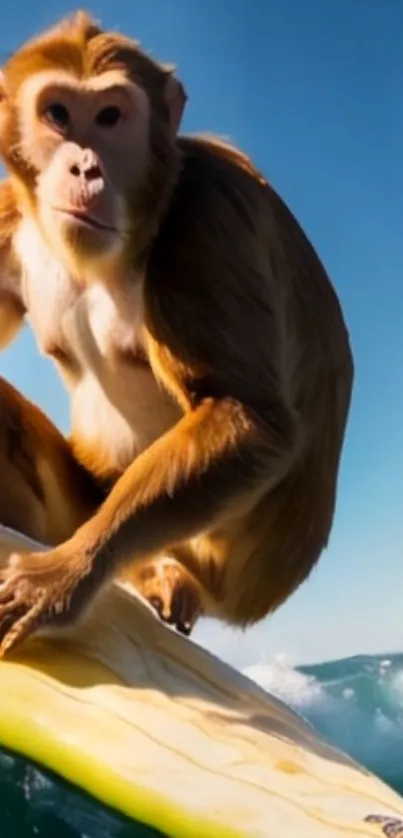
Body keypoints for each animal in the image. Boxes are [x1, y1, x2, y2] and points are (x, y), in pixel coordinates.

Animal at [0, 11, 353, 658]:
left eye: (110, 117)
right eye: (58, 114)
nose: (85, 167)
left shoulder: (207, 214)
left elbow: (249, 418)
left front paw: (70, 576)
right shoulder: (11, 212)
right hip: (81, 498)